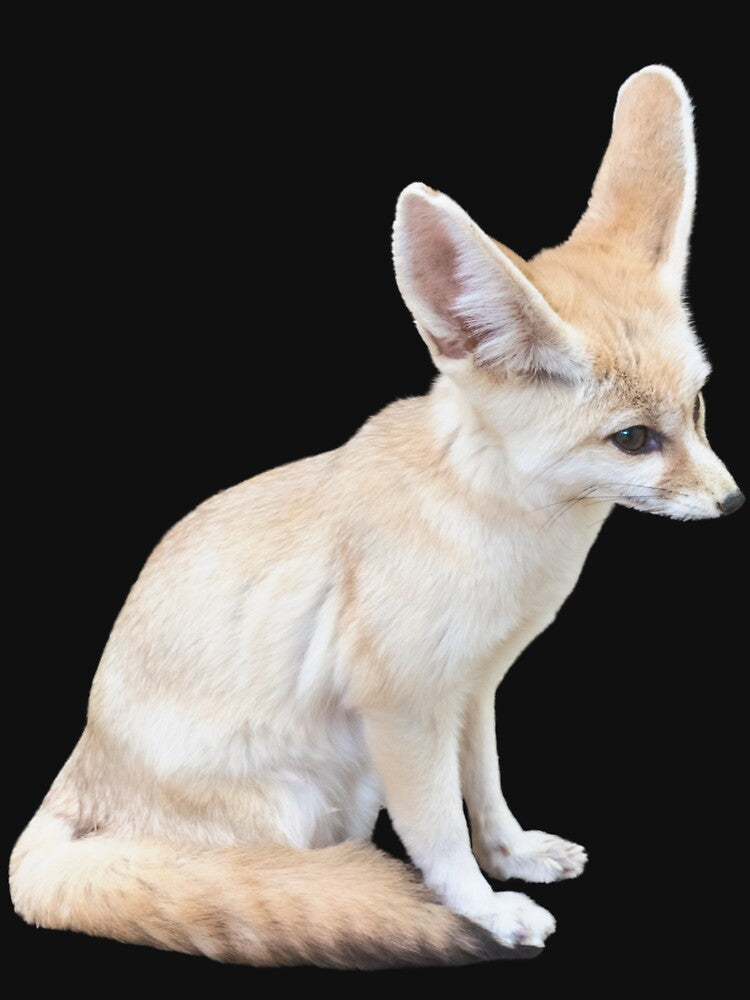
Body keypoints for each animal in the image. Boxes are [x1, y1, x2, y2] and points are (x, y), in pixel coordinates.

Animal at [10, 65, 744, 970]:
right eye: (635, 439)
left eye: (699, 407)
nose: (732, 500)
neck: (496, 528)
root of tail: (77, 769)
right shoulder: (403, 710)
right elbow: (439, 835)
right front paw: (484, 910)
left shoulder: (474, 687)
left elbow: (485, 790)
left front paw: (513, 854)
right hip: (309, 798)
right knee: (276, 877)